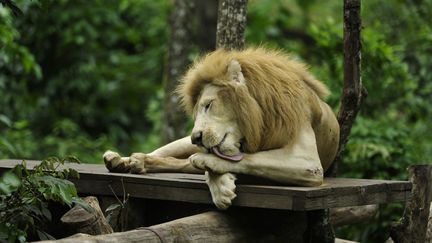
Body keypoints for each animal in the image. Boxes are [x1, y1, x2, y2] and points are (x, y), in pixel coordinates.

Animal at [103, 47, 340, 209]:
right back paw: (122, 160)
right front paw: (221, 186)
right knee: (162, 154)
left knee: (181, 163)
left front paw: (215, 173)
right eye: (196, 113)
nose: (196, 138)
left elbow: (247, 159)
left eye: (208, 105)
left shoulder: (309, 163)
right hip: (181, 143)